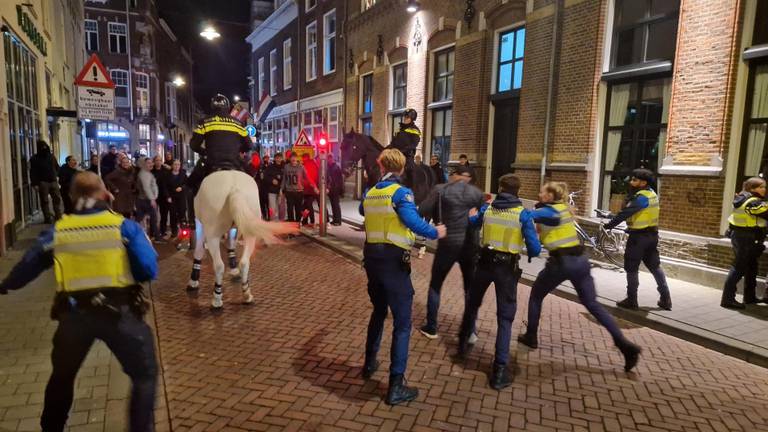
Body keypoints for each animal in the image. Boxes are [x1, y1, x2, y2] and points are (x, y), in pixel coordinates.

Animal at [194, 170, 296, 308]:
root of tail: (234, 188)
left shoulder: (199, 224)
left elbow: (198, 251)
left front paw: (193, 281)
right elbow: (231, 243)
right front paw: (233, 268)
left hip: (212, 234)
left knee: (219, 265)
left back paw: (217, 299)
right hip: (250, 233)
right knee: (244, 262)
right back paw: (246, 294)